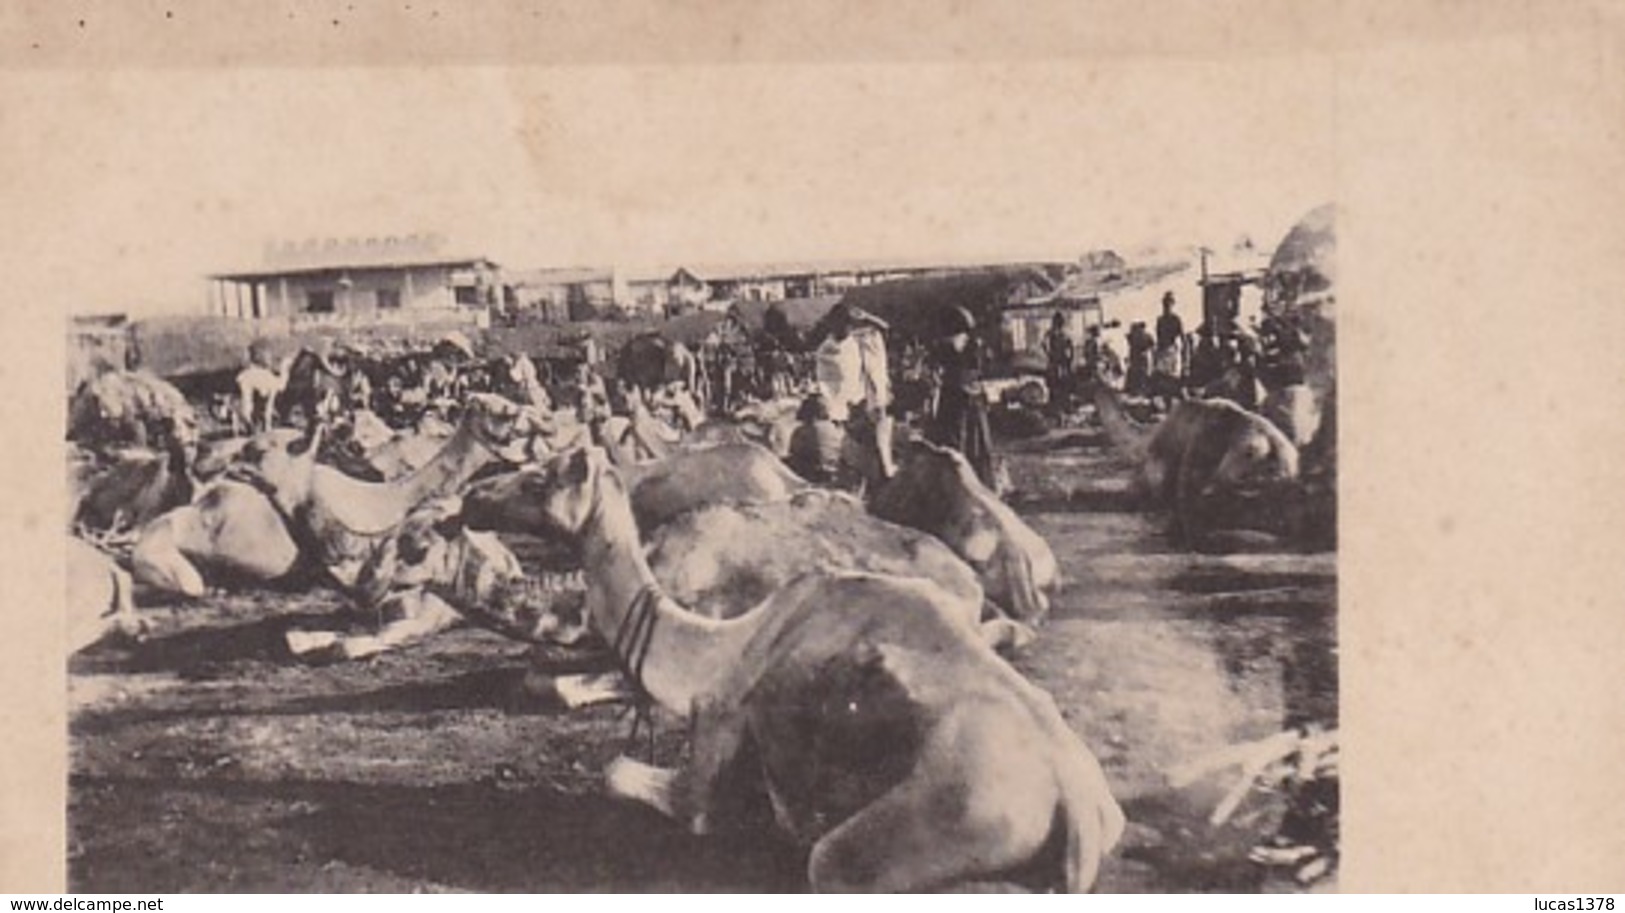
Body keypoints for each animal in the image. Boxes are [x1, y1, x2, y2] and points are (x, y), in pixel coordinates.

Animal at [451, 448, 1124, 890]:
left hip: (940, 820)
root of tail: (1076, 804)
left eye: (541, 477)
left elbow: (626, 777)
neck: (713, 648)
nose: (472, 496)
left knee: (830, 862)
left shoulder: (718, 730)